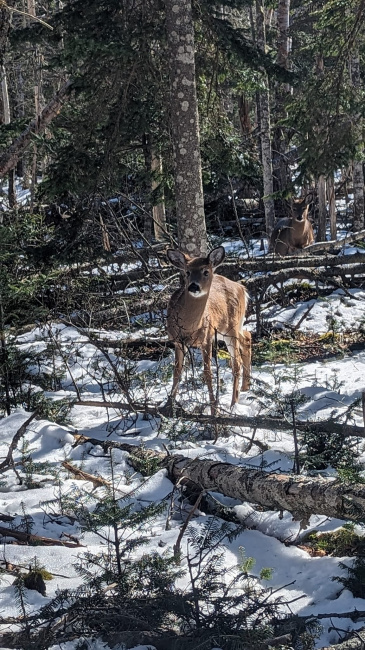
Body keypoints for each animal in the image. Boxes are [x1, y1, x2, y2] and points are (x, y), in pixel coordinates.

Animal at [165, 246, 250, 412]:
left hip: (231, 328)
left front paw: (213, 410)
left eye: (206, 272)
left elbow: (208, 373)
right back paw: (245, 388)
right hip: (227, 329)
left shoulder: (207, 338)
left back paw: (233, 403)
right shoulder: (178, 342)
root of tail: (242, 288)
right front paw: (168, 406)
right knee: (247, 336)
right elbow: (176, 372)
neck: (189, 327)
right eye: (187, 272)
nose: (193, 286)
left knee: (236, 362)